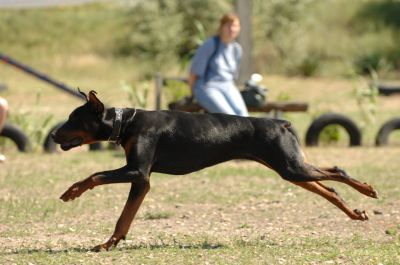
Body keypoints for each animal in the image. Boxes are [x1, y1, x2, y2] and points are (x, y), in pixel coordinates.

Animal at [52, 90, 378, 250]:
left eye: (73, 118)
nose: (54, 135)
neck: (127, 122)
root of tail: (280, 122)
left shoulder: (137, 172)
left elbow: (94, 176)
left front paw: (71, 192)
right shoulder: (142, 181)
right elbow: (124, 219)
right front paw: (109, 244)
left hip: (291, 168)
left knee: (337, 172)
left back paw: (368, 189)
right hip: (291, 168)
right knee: (330, 186)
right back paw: (356, 212)